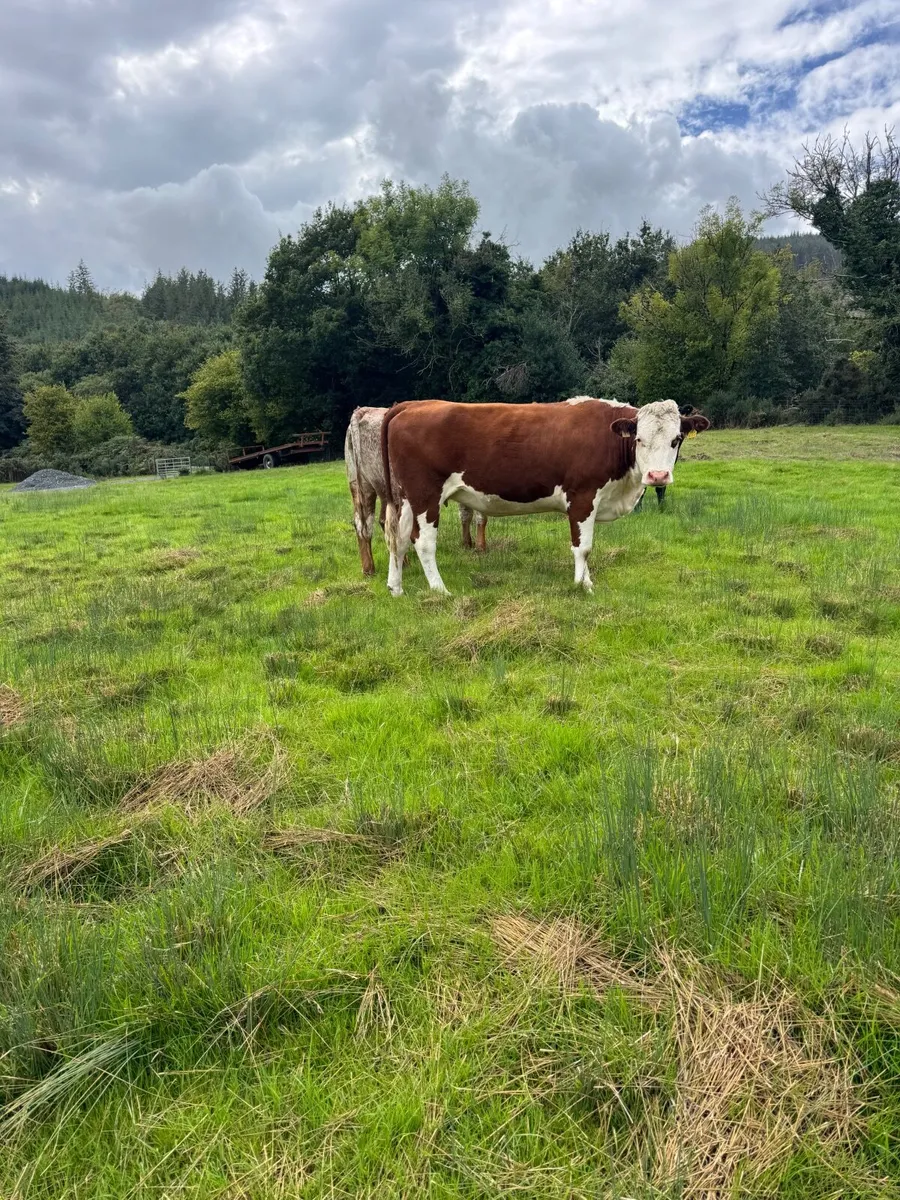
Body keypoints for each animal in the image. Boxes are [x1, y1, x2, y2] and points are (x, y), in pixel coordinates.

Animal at [344, 405, 487, 576]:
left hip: (361, 486)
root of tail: (364, 411)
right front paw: (480, 546)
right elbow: (479, 515)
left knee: (363, 523)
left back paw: (369, 568)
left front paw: (467, 543)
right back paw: (402, 562)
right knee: (390, 524)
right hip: (395, 488)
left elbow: (465, 514)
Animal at [380, 397, 710, 596]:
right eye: (639, 439)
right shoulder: (582, 497)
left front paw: (585, 581)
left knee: (397, 538)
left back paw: (396, 587)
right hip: (426, 495)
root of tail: (413, 404)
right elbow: (583, 548)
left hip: (407, 497)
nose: (658, 476)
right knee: (423, 542)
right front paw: (583, 585)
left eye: (676, 439)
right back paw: (440, 590)